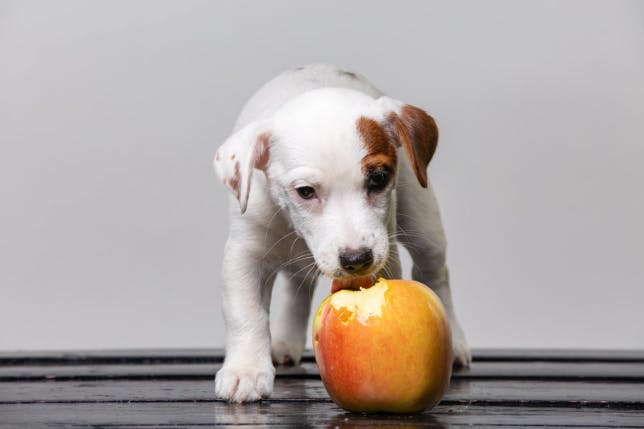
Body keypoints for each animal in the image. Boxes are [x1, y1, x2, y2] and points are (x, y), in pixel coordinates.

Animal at [214, 62, 470, 402]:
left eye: (379, 178)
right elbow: (246, 313)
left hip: (423, 220)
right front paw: (246, 370)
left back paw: (455, 339)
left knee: (435, 272)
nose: (356, 259)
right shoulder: (244, 256)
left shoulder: (385, 253)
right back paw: (285, 342)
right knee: (298, 289)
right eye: (305, 191)